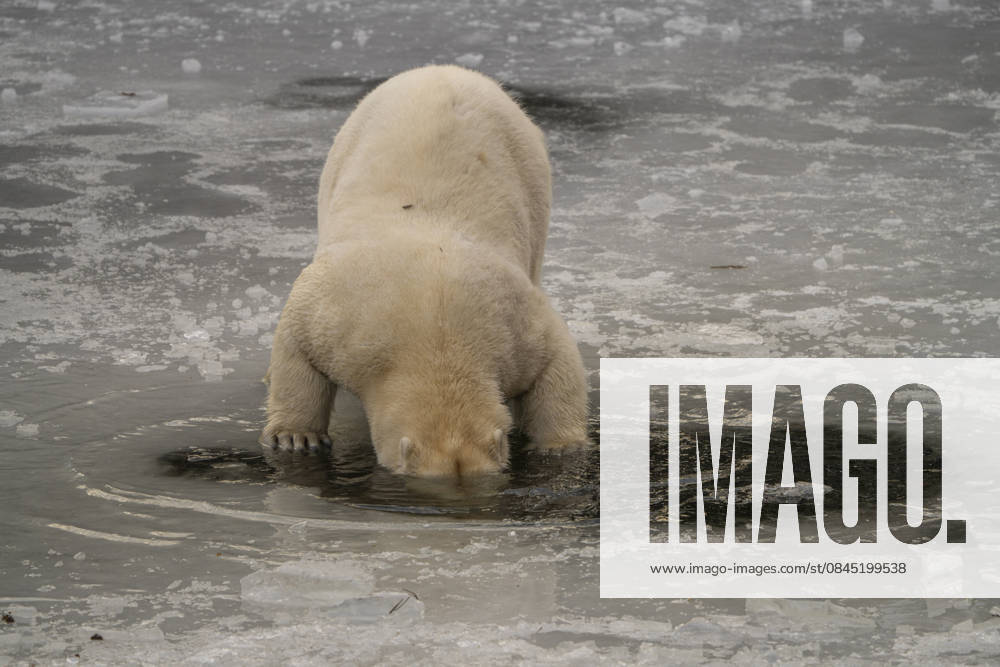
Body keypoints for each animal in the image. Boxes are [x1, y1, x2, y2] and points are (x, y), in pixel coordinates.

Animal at [260, 64, 589, 477]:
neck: (437, 326)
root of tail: (445, 70)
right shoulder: (343, 312)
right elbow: (297, 342)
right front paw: (296, 437)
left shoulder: (511, 323)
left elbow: (556, 361)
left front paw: (561, 447)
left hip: (532, 171)